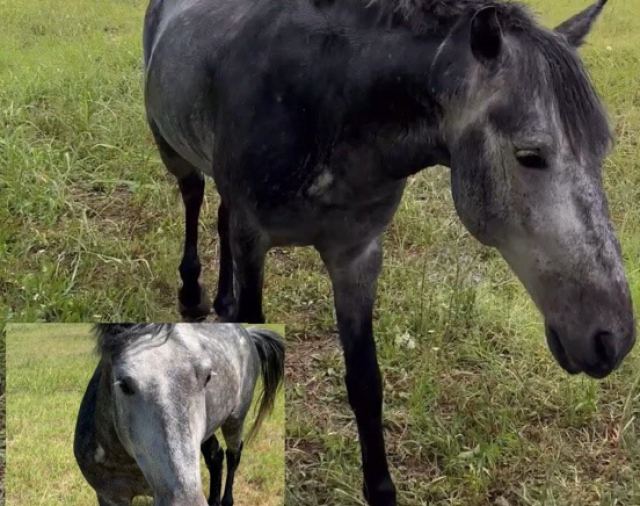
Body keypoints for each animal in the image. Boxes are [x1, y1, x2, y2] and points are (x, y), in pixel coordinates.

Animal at [74, 324, 284, 506]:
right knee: (215, 455)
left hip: (235, 418)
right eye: (123, 384)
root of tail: (247, 333)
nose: (187, 502)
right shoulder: (110, 496)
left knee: (234, 454)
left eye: (207, 376)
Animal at [144, 1, 636, 504]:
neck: (325, 100)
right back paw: (193, 293)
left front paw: (380, 487)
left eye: (602, 149)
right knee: (193, 196)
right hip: (172, 149)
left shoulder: (357, 256)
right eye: (530, 155)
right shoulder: (253, 239)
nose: (611, 338)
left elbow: (365, 382)